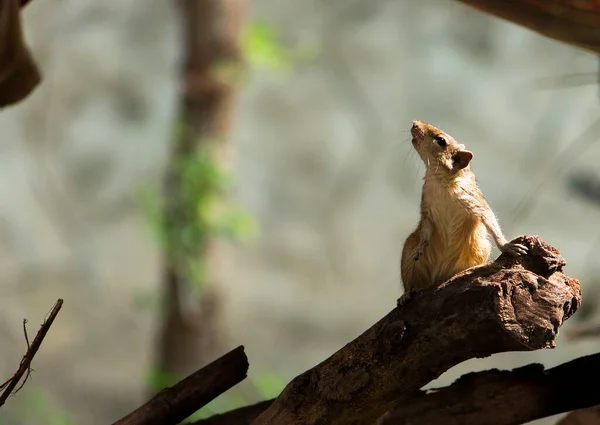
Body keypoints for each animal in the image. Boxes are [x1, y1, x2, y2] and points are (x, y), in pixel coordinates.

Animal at [400, 120, 528, 302]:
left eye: (441, 140)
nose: (415, 123)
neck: (440, 180)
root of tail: (438, 275)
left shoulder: (476, 202)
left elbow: (490, 220)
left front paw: (507, 246)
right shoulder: (426, 211)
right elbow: (425, 230)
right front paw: (420, 248)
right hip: (407, 255)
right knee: (410, 282)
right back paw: (405, 295)